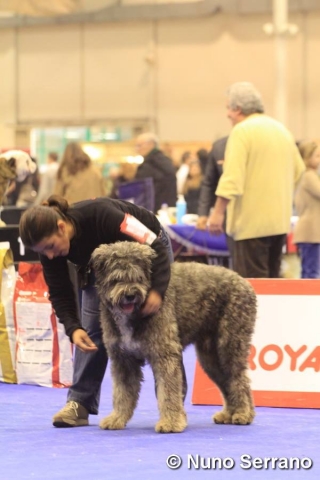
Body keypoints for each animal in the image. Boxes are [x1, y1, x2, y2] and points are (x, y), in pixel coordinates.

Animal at [91, 242, 256, 434]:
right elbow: (122, 393)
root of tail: (244, 282)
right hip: (211, 358)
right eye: (116, 279)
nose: (130, 295)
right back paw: (229, 414)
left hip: (230, 347)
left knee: (239, 380)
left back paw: (244, 414)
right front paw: (117, 418)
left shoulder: (165, 355)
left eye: (138, 277)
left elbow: (168, 391)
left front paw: (170, 422)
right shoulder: (123, 360)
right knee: (226, 382)